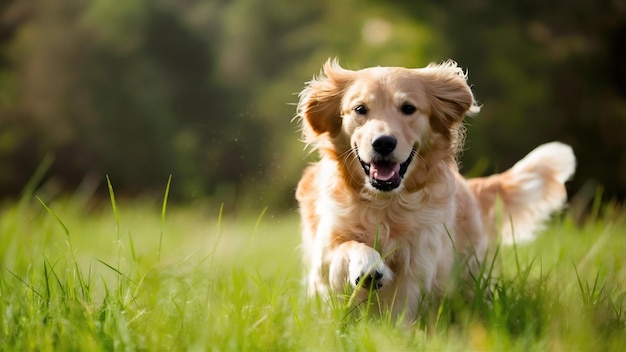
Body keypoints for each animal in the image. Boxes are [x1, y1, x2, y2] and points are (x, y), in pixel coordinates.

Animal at [294, 59, 576, 320]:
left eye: (408, 108)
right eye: (360, 109)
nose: (383, 142)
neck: (386, 204)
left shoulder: (420, 259)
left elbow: (401, 308)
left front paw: (396, 332)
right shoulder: (324, 252)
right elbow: (348, 247)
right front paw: (369, 266)